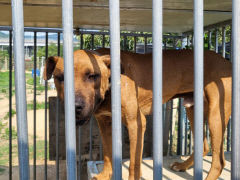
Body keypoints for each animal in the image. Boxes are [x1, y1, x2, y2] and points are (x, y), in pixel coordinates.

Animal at [44, 48, 232, 180]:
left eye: (92, 76)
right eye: (60, 78)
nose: (74, 106)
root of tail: (225, 61)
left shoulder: (136, 123)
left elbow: (134, 162)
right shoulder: (104, 123)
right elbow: (107, 152)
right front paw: (105, 174)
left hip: (216, 115)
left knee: (220, 160)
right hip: (193, 110)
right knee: (205, 146)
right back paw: (183, 165)